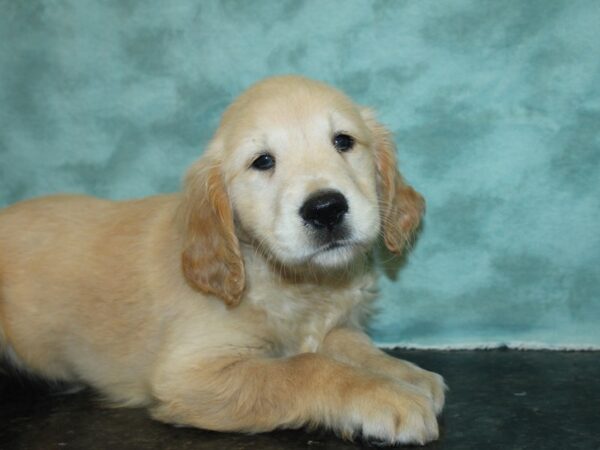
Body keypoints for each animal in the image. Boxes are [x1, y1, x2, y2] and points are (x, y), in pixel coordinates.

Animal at [0, 75, 442, 444]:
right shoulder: (189, 374)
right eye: (263, 161)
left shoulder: (331, 324)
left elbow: (350, 342)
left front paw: (402, 374)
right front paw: (386, 397)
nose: (326, 209)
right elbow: (305, 368)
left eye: (343, 141)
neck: (286, 279)